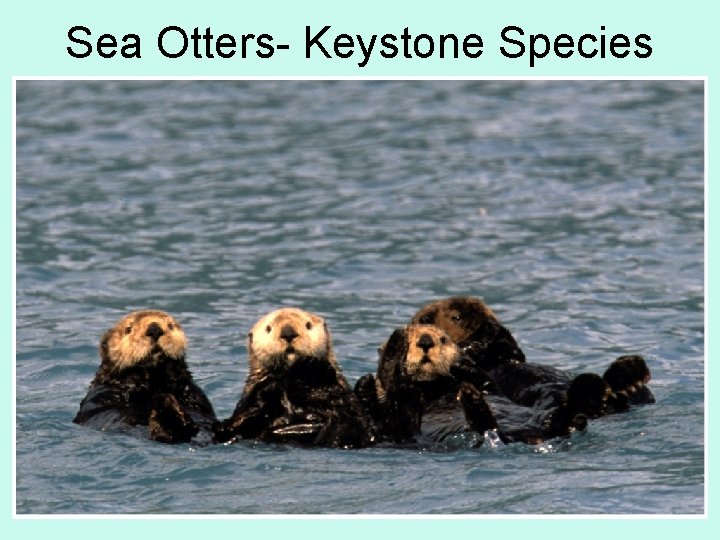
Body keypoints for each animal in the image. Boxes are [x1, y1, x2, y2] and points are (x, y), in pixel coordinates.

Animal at [73, 310, 217, 444]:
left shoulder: (189, 389)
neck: (153, 384)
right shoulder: (104, 392)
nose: (154, 329)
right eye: (128, 329)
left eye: (171, 325)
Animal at [355, 324, 587, 446]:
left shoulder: (490, 386)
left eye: (443, 339)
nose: (426, 341)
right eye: (409, 340)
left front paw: (462, 364)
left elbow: (489, 384)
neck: (431, 389)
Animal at [411, 296, 655, 414]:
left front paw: (492, 329)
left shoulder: (505, 353)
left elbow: (511, 350)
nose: (481, 322)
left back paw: (629, 373)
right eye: (456, 317)